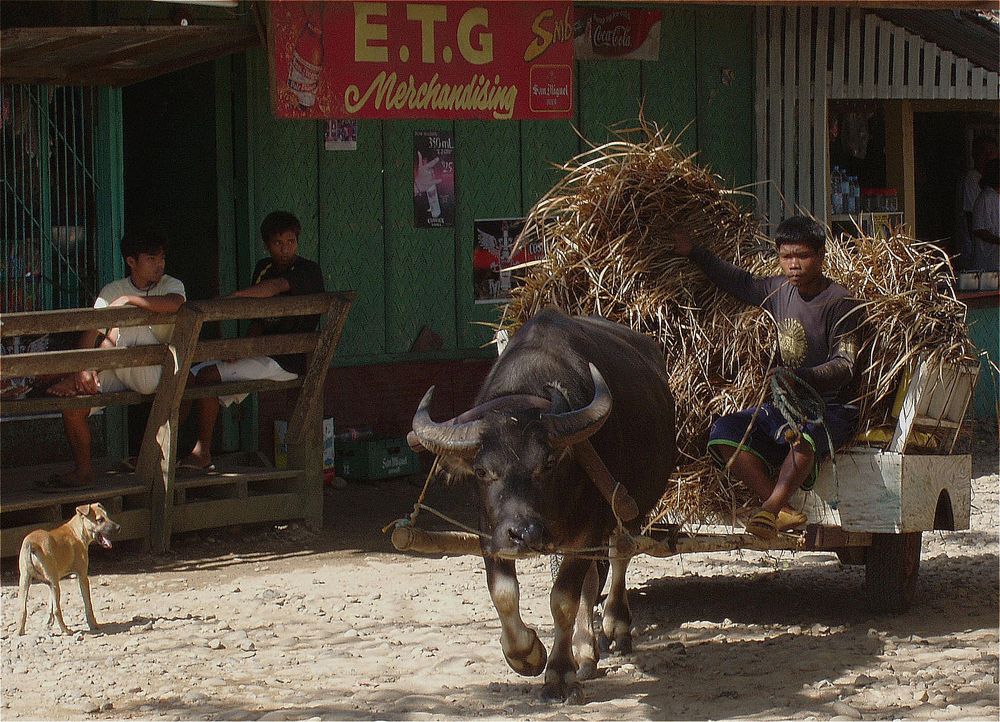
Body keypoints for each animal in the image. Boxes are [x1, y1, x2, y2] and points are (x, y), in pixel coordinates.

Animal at [16, 504, 120, 632]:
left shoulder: (51, 583)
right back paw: (66, 630)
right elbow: (88, 605)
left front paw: (48, 622)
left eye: (107, 516)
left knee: (23, 610)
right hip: (54, 583)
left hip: (26, 581)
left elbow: (50, 604)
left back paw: (19, 632)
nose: (119, 527)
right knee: (57, 610)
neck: (76, 531)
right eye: (100, 520)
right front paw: (93, 625)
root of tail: (32, 543)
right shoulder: (82, 577)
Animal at [410, 306, 676, 700]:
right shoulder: (490, 531)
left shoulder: (589, 529)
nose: (525, 534)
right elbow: (504, 593)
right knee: (592, 582)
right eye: (482, 471)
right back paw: (586, 650)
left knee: (620, 556)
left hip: (628, 510)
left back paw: (615, 627)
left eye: (548, 463)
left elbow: (563, 598)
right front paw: (527, 654)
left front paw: (559, 673)